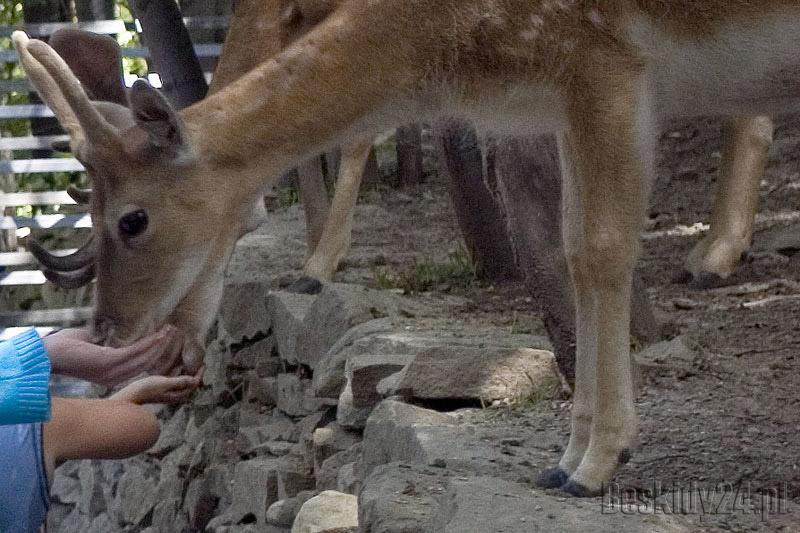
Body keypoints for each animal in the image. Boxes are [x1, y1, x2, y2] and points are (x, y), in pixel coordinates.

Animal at [9, 2, 796, 496]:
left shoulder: (608, 62)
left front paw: (594, 465)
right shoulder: (571, 97)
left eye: (132, 220)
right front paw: (565, 458)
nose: (107, 328)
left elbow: (603, 249)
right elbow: (574, 248)